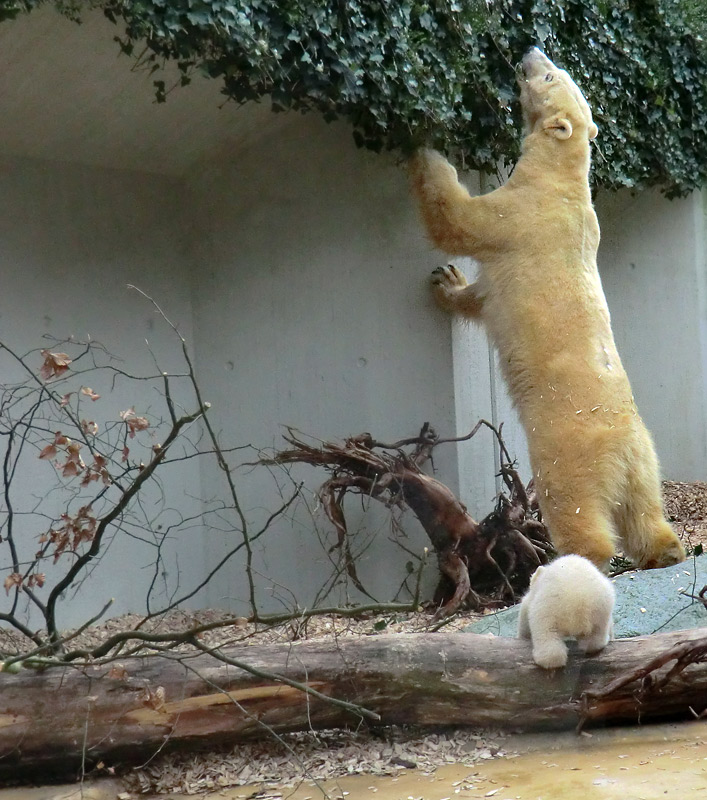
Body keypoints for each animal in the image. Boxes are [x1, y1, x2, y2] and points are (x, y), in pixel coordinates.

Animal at [410, 48, 684, 568]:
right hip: (646, 460)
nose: (529, 52)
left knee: (576, 510)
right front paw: (448, 280)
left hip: (565, 454)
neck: (564, 175)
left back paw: (567, 560)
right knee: (645, 512)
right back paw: (666, 550)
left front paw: (425, 144)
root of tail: (622, 448)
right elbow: (479, 296)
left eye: (551, 75)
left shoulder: (520, 212)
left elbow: (461, 219)